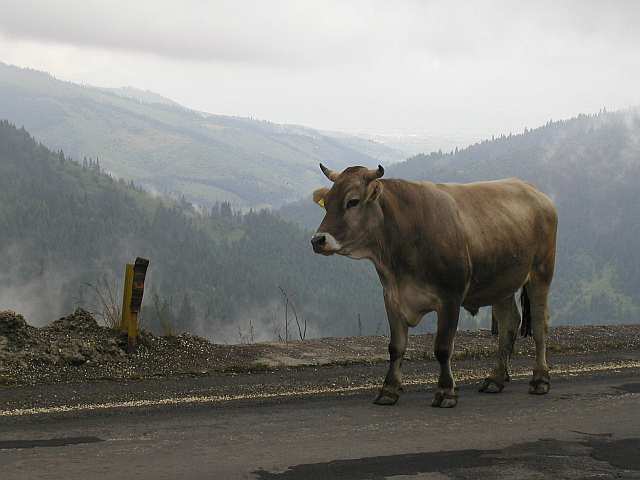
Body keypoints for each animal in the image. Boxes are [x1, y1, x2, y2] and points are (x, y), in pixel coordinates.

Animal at [311, 164, 557, 408]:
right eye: (327, 202)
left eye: (352, 201)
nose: (317, 240)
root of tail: (535, 191)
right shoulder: (392, 297)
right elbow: (396, 347)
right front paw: (389, 390)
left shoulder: (450, 298)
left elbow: (443, 348)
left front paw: (446, 392)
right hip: (501, 281)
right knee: (509, 324)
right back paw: (495, 379)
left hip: (541, 271)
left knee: (539, 324)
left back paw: (540, 379)